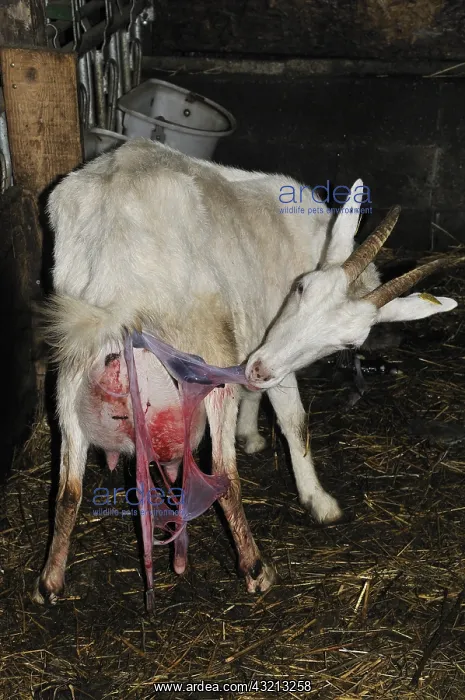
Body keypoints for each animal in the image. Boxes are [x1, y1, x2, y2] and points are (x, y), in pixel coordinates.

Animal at [34, 139, 459, 607]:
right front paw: (319, 500)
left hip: (73, 363)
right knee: (222, 469)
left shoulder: (260, 345)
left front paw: (251, 433)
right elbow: (294, 421)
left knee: (68, 487)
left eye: (350, 343)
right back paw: (256, 568)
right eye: (301, 288)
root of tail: (118, 274)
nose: (260, 369)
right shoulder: (269, 346)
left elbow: (258, 393)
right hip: (205, 351)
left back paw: (50, 581)